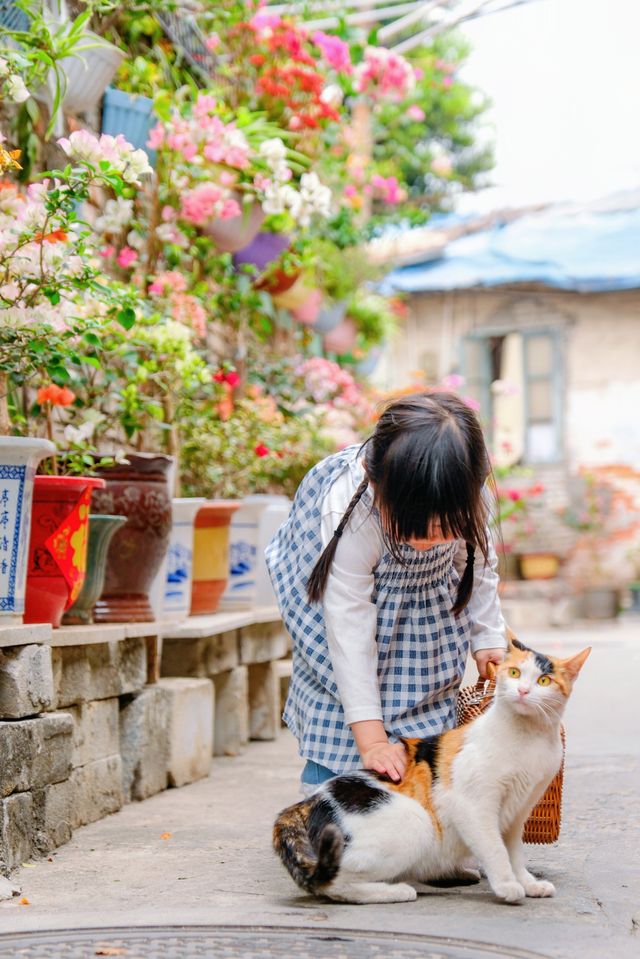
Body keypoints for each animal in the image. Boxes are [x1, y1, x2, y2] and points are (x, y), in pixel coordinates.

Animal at [274, 640, 592, 904]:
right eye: (514, 672)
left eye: (543, 680)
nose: (523, 691)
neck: (529, 737)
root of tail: (307, 802)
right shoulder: (473, 806)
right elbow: (495, 849)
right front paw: (507, 886)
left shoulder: (518, 812)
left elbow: (514, 852)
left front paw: (527, 882)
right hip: (415, 823)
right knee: (334, 883)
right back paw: (396, 891)